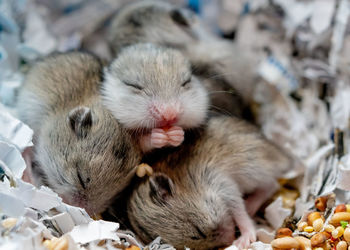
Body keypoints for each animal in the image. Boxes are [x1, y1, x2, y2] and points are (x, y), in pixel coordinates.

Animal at [126, 116, 298, 249]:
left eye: (198, 231)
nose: (230, 240)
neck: (192, 184)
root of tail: (283, 156)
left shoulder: (224, 186)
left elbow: (240, 213)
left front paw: (243, 240)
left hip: (255, 170)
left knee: (271, 186)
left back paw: (250, 206)